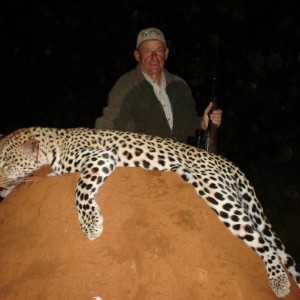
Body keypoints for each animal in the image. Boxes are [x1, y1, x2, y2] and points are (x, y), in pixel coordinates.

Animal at [0, 125, 298, 296]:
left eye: (5, 164)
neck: (54, 145)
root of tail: (227, 162)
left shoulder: (100, 156)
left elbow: (80, 188)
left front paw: (91, 224)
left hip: (217, 195)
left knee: (265, 245)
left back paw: (279, 282)